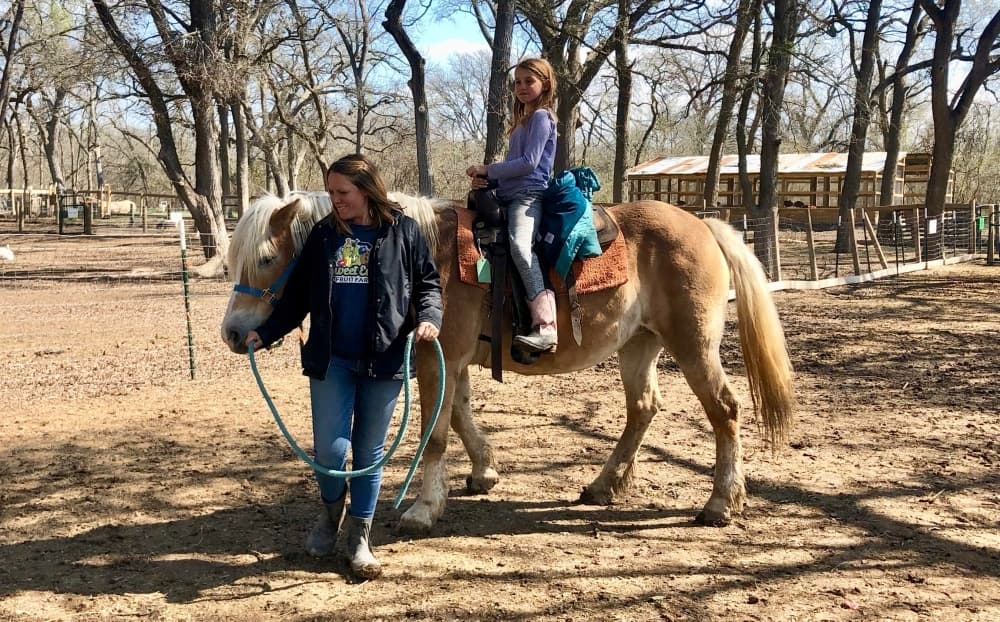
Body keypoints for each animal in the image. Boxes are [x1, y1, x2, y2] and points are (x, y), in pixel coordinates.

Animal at [220, 190, 795, 534]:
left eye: (267, 259)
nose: (233, 333)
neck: (421, 255)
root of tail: (704, 225)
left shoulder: (438, 357)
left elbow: (435, 432)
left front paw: (423, 509)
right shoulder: (452, 361)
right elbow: (459, 417)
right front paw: (484, 472)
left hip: (693, 346)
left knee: (725, 411)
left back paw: (721, 503)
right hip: (639, 345)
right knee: (643, 410)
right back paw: (603, 485)